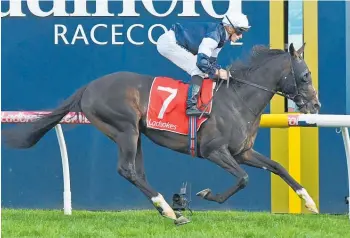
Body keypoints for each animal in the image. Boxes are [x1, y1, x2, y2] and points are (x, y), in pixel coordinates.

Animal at [2, 43, 320, 225]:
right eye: (305, 75)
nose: (316, 105)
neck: (238, 99)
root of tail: (89, 87)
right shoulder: (214, 151)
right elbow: (243, 178)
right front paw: (207, 195)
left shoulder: (242, 151)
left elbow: (278, 167)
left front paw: (310, 202)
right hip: (125, 129)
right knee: (127, 170)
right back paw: (169, 211)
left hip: (137, 134)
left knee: (137, 172)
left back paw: (169, 209)